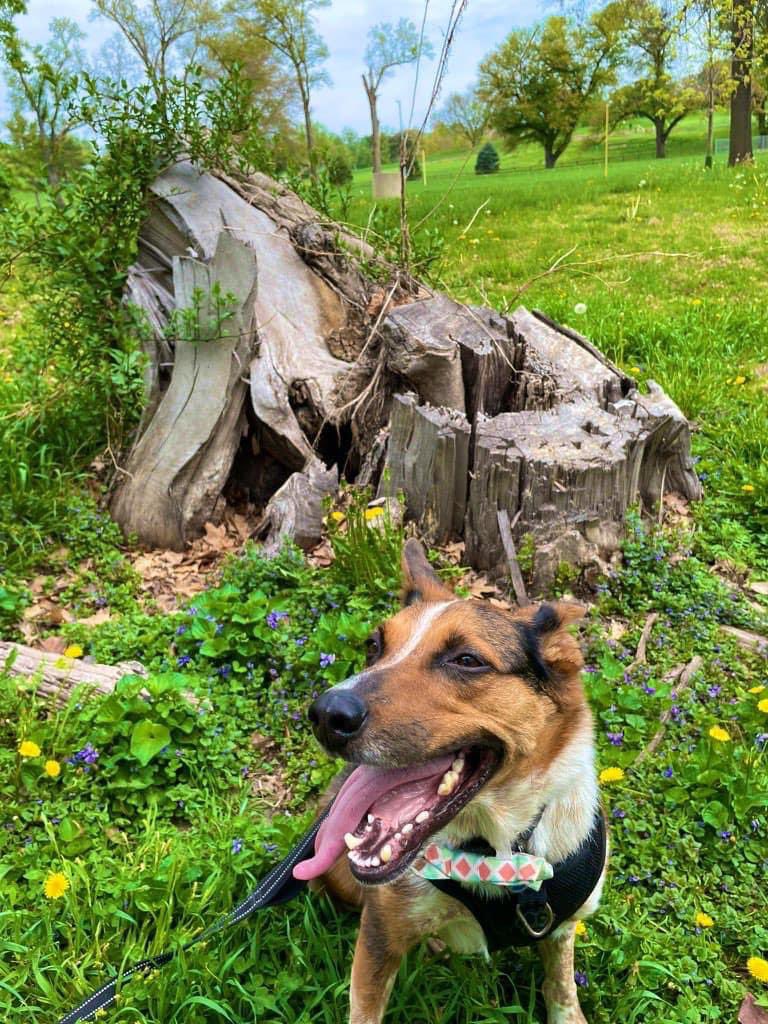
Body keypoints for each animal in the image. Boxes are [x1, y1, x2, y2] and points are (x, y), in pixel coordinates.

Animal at [294, 540, 606, 1019]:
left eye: (467, 660)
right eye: (373, 646)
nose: (327, 715)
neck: (496, 849)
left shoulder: (560, 928)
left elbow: (562, 991)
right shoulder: (380, 937)